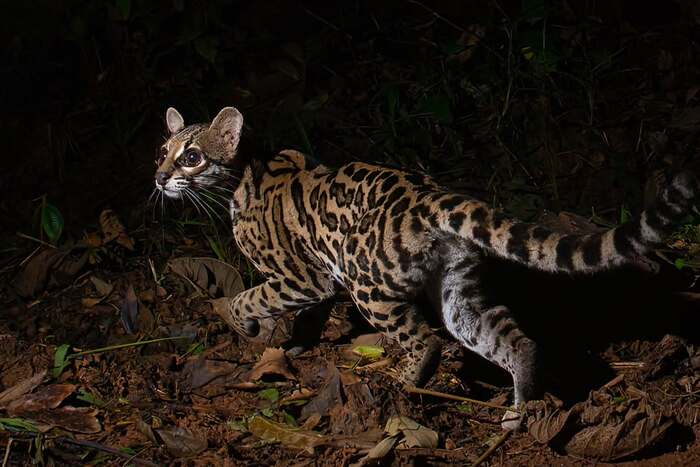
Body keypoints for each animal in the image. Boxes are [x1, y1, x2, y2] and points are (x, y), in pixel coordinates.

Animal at [154, 105, 700, 428]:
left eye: (193, 157)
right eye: (162, 150)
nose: (158, 178)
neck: (244, 172)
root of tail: (433, 195)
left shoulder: (302, 276)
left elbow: (252, 296)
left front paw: (243, 323)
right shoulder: (318, 282)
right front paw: (294, 340)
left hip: (367, 282)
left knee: (427, 342)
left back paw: (401, 387)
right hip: (459, 292)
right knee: (512, 341)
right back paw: (522, 409)